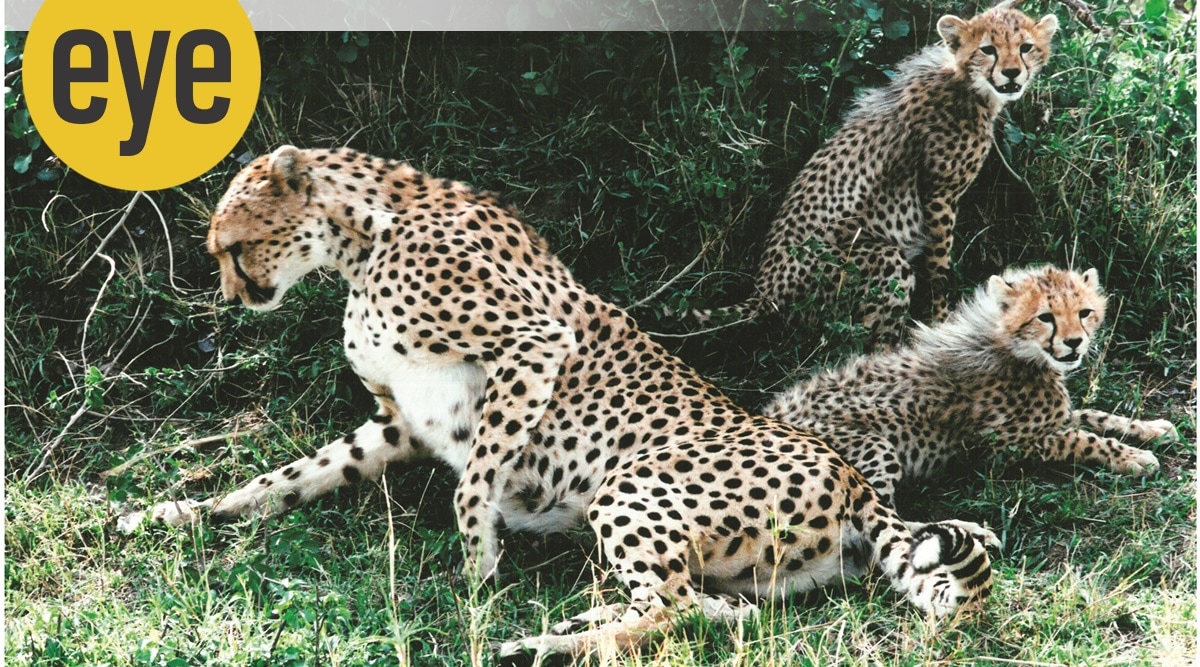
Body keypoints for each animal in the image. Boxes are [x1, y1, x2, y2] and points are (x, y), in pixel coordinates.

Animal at [151, 145, 998, 658]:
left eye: (235, 246)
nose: (232, 297)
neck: (363, 239)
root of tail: (849, 473)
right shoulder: (398, 424)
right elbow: (285, 478)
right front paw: (178, 512)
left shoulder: (533, 346)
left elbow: (472, 483)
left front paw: (477, 571)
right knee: (723, 609)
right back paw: (586, 621)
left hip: (629, 486)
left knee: (677, 607)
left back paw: (544, 644)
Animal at [693, 2, 1059, 347]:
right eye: (988, 49)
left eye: (1025, 47)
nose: (1012, 73)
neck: (966, 85)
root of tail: (764, 291)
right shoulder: (939, 196)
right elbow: (939, 271)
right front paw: (943, 323)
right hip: (883, 258)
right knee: (870, 342)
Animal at [762, 264, 1177, 508]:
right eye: (1045, 317)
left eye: (1084, 312)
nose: (1075, 342)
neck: (1013, 349)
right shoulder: (1000, 448)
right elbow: (1081, 438)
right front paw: (1134, 456)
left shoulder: (1052, 417)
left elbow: (1093, 414)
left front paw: (1152, 429)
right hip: (871, 446)